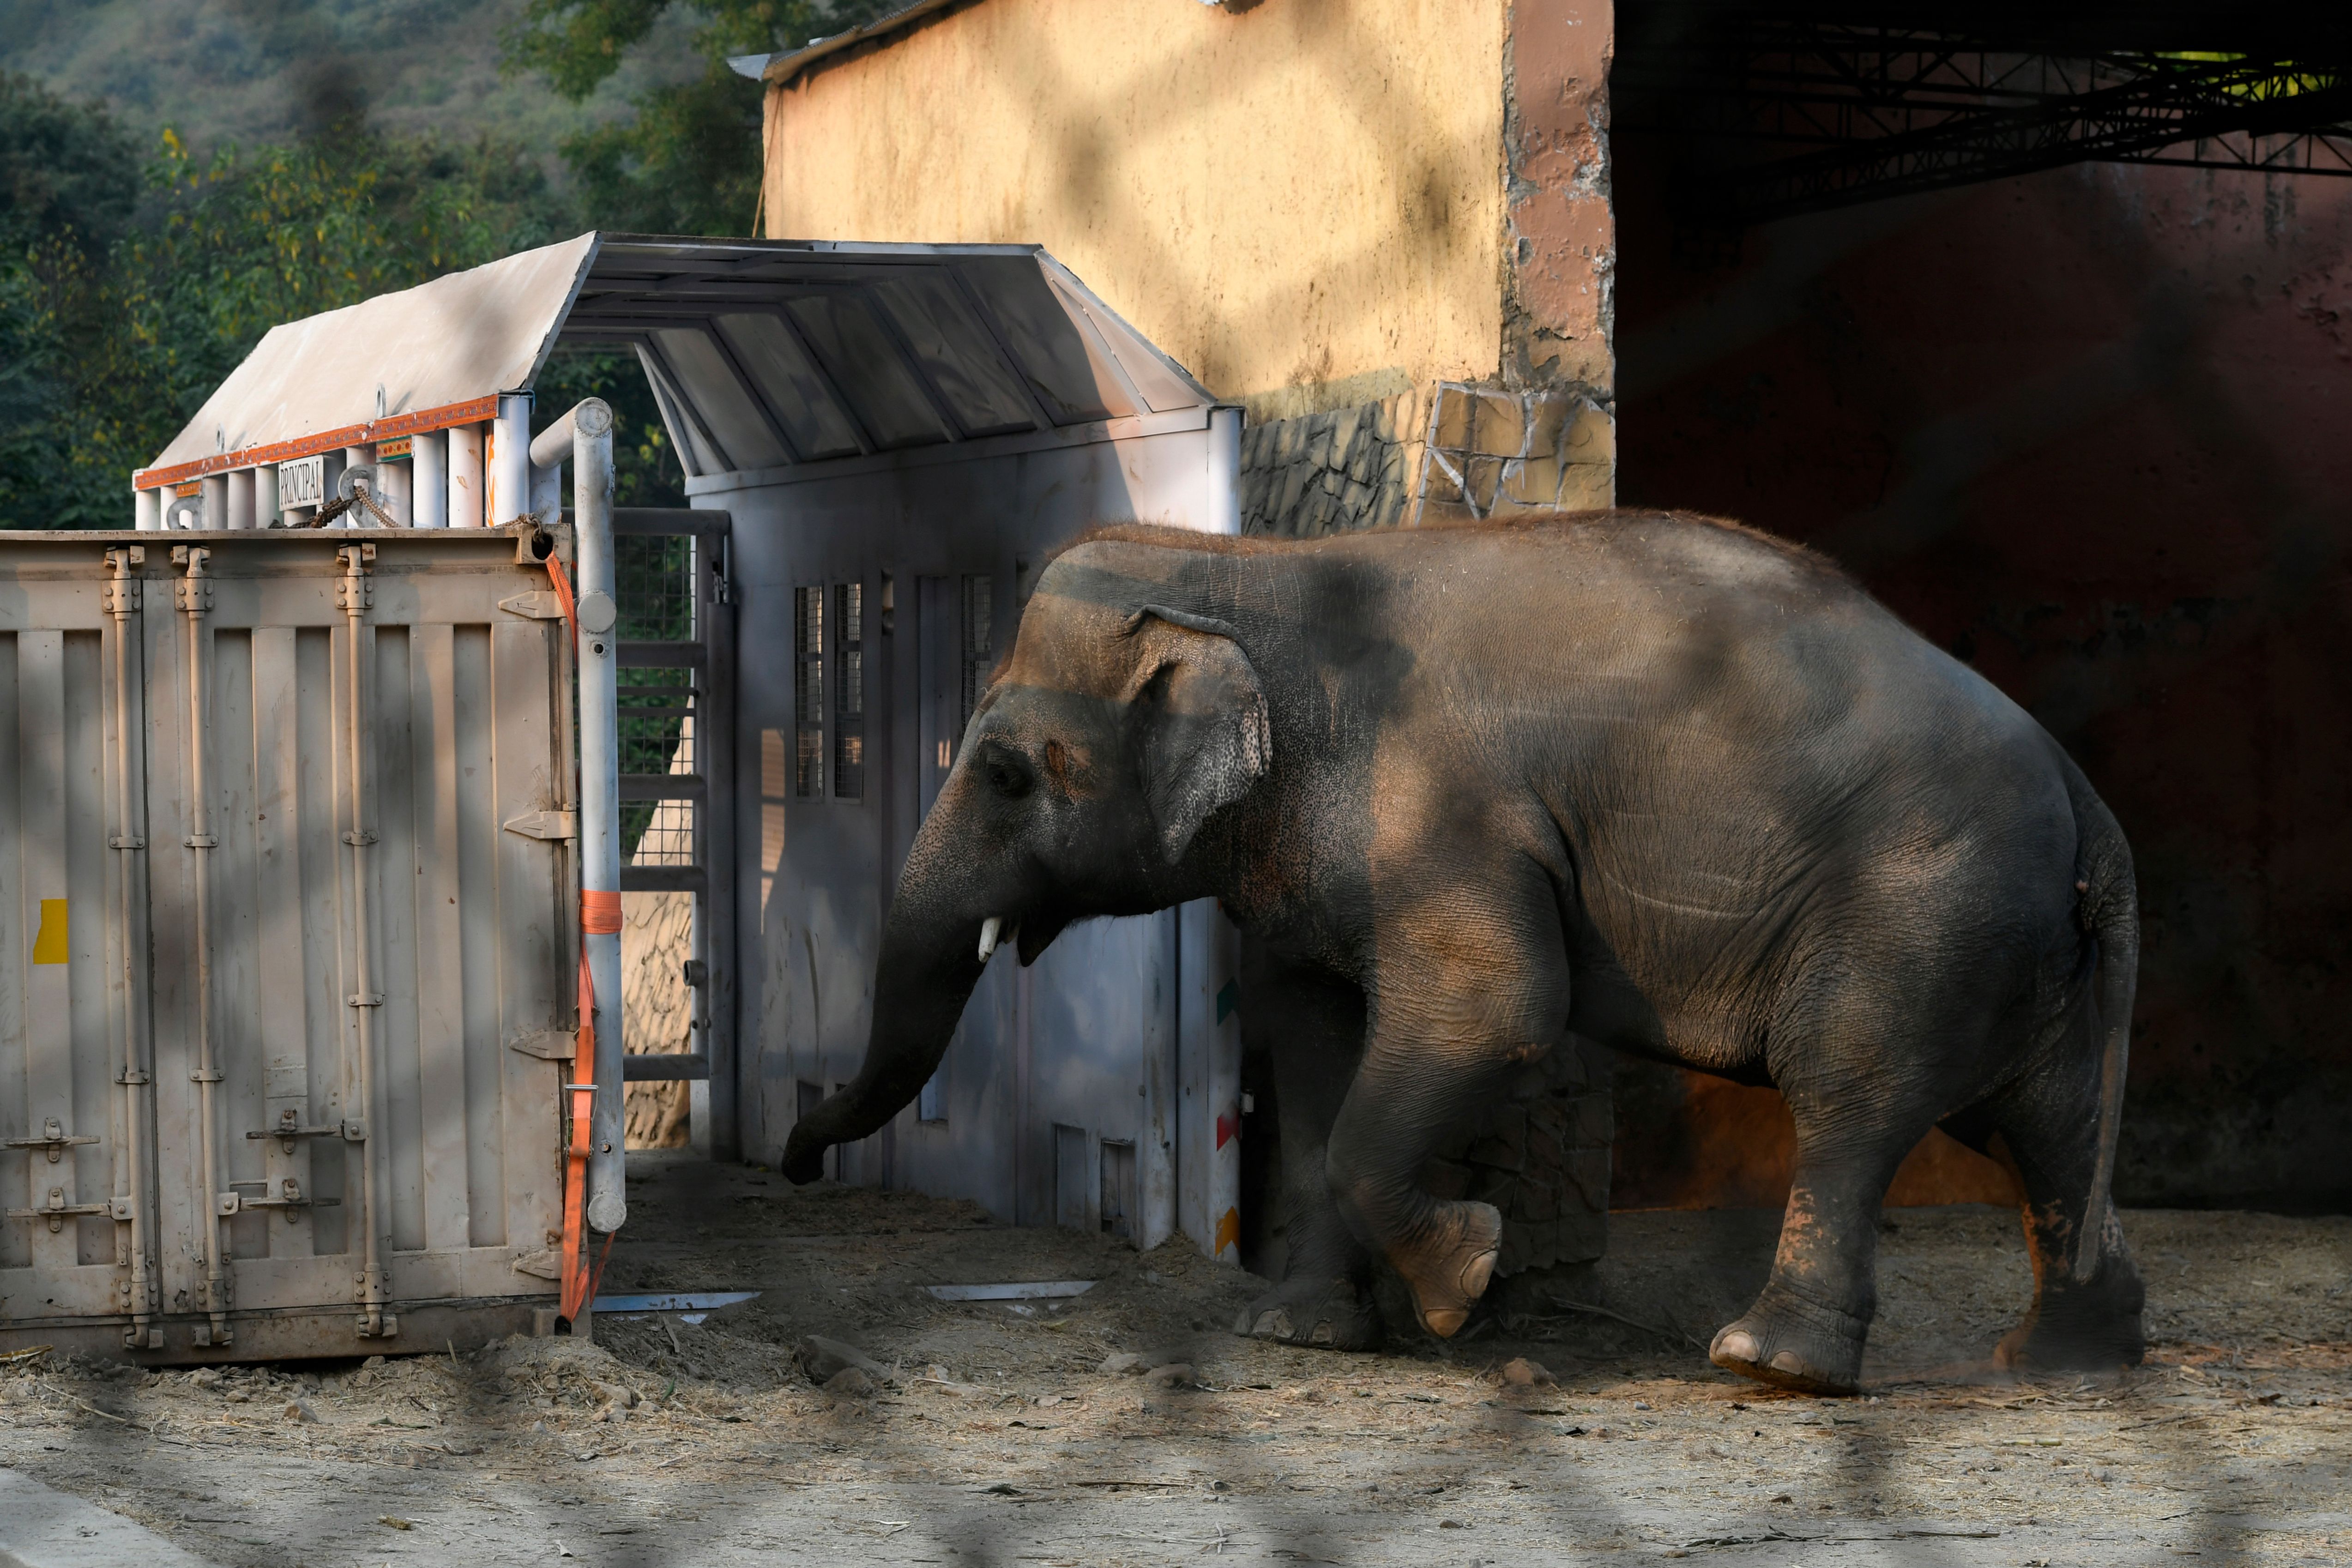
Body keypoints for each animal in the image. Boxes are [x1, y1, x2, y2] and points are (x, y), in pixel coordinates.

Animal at [781, 510, 2145, 1392]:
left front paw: (1461, 1281)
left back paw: (1768, 1366)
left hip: (1917, 904)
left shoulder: (1439, 802)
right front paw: (1300, 1337)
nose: (794, 1155)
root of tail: (2082, 788)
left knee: (1854, 1095)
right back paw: (2068, 1360)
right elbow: (1311, 1036)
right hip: (2015, 941)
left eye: (1007, 774)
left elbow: (1494, 1007)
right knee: (2043, 1122)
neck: (1247, 573)